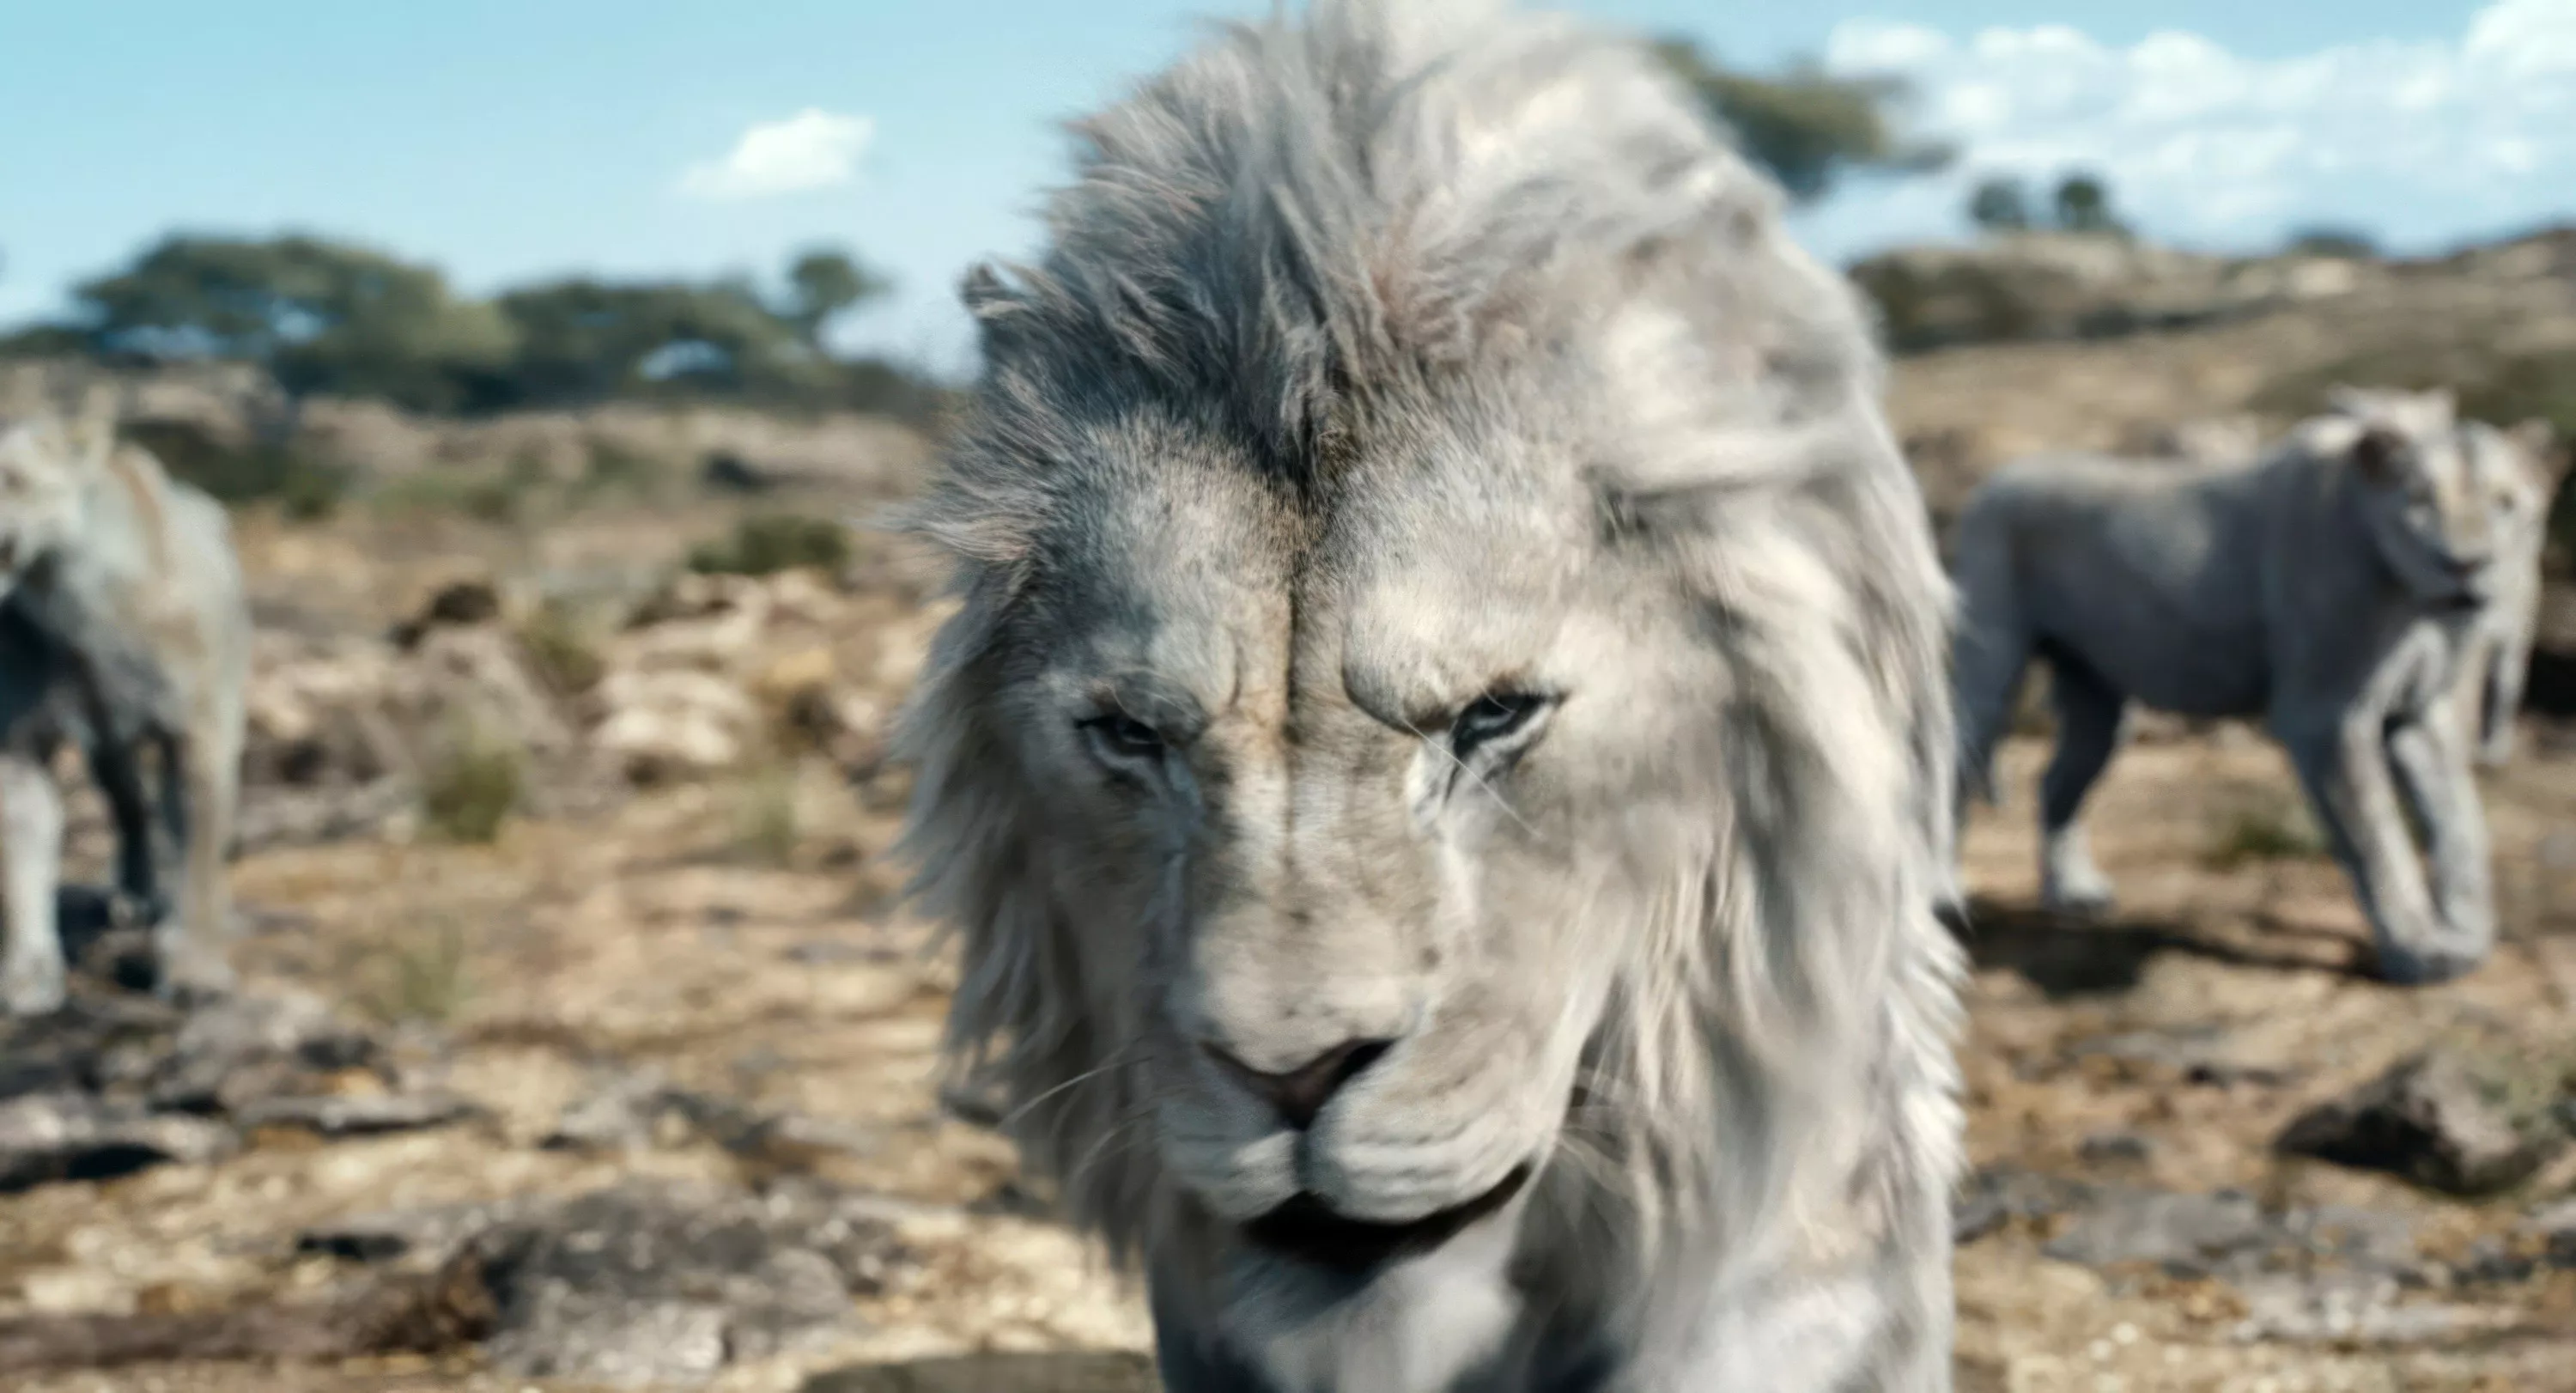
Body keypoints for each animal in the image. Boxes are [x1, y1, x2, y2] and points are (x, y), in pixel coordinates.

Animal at [0, 391, 251, 1015]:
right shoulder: (20, 743)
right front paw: (27, 978)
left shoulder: (199, 735)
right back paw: (132, 898)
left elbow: (198, 854)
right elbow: (22, 858)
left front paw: (196, 970)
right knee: (131, 810)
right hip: (107, 748)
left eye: (14, 479)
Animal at [1949, 386, 2548, 986]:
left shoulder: (2417, 712)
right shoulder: (2324, 717)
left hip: (2098, 707)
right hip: (1987, 675)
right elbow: (2377, 839)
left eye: (2505, 503)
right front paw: (2419, 952)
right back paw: (1945, 898)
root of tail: (1990, 486)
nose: (2465, 565)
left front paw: (2468, 937)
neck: (2410, 599)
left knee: (2055, 783)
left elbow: (2459, 826)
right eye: (2419, 500)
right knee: (1950, 775)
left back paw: (2072, 894)